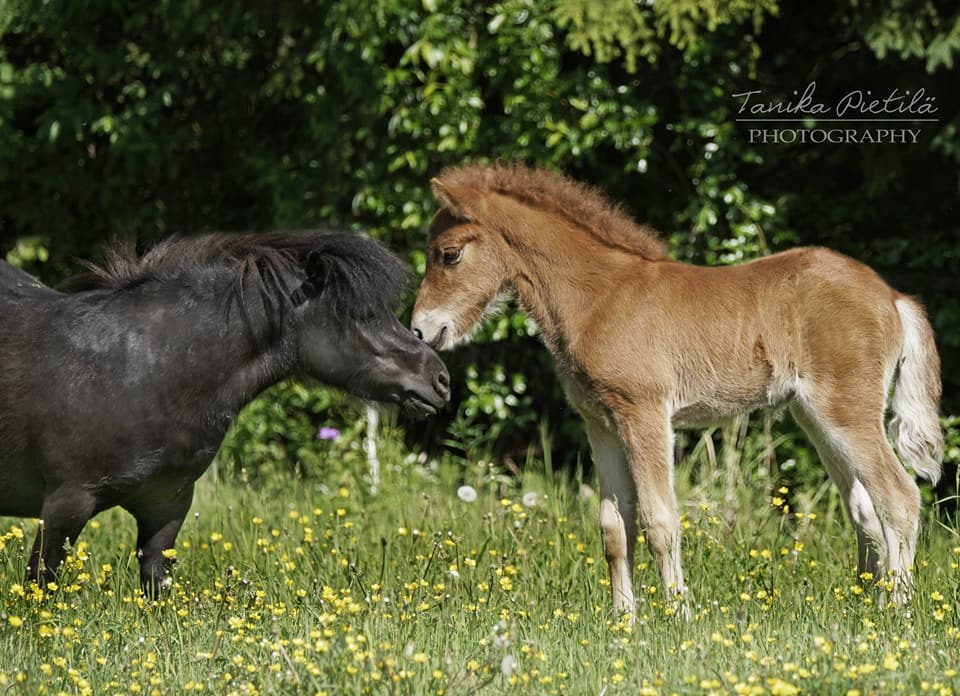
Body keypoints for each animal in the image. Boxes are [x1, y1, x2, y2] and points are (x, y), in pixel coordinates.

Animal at [0, 230, 451, 593]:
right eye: (360, 314)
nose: (440, 379)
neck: (139, 370)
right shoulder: (66, 503)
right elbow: (42, 586)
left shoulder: (167, 506)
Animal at [410, 162, 943, 618]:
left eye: (449, 254)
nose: (420, 330)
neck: (599, 297)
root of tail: (892, 297)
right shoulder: (601, 423)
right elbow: (613, 526)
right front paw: (623, 620)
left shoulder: (644, 413)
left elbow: (659, 519)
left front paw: (677, 615)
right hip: (816, 417)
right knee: (865, 508)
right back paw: (867, 603)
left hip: (845, 411)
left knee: (899, 497)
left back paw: (895, 610)